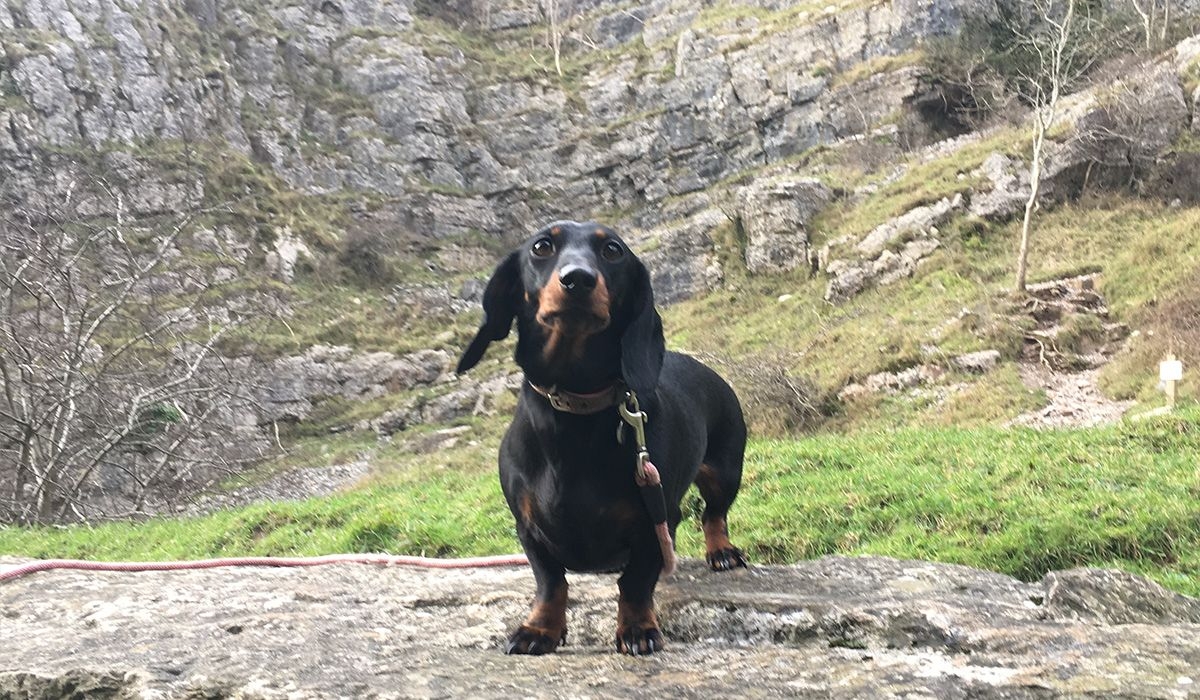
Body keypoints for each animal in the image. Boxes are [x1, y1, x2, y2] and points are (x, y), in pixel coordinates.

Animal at [453, 220, 744, 657]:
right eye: (541, 246)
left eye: (612, 250)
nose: (578, 279)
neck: (575, 409)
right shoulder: (528, 527)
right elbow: (550, 582)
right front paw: (540, 629)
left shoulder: (653, 519)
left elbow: (636, 583)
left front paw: (638, 629)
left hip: (725, 473)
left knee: (713, 515)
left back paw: (721, 551)